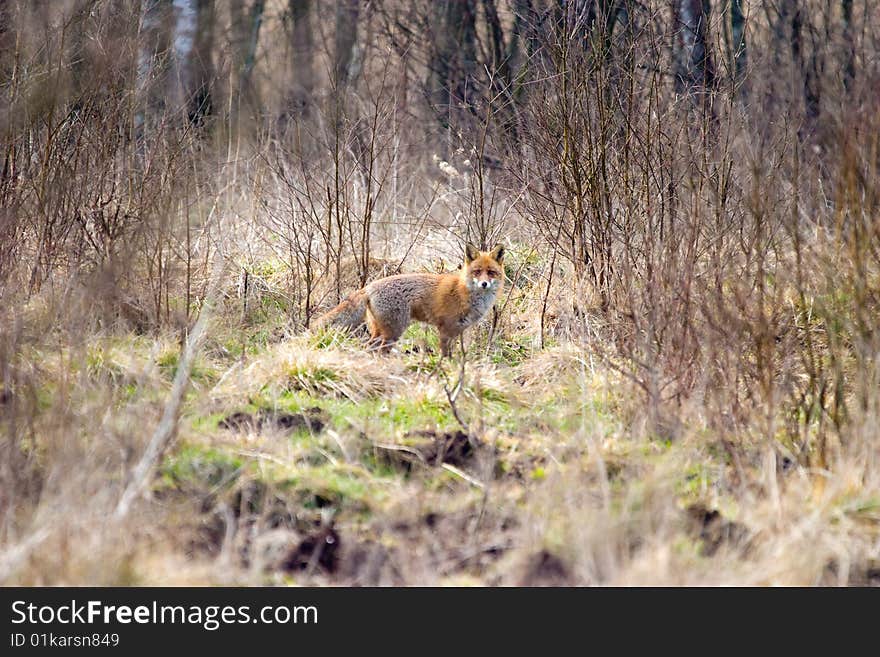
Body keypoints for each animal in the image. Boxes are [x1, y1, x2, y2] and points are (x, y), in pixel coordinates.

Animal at [316, 243, 506, 356]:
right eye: (477, 271)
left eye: (491, 272)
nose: (484, 284)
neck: (466, 293)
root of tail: (369, 286)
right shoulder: (446, 328)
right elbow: (445, 355)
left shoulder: (457, 330)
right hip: (394, 331)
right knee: (377, 349)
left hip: (380, 330)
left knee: (368, 346)